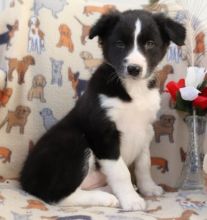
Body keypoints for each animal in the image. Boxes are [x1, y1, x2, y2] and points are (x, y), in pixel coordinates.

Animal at [19, 9, 186, 211]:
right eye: (120, 44)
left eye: (150, 44)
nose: (134, 69)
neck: (133, 89)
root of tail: (25, 181)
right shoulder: (104, 133)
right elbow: (121, 171)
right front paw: (131, 200)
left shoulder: (146, 130)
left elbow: (143, 164)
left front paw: (148, 188)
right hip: (74, 141)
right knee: (57, 195)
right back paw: (106, 198)